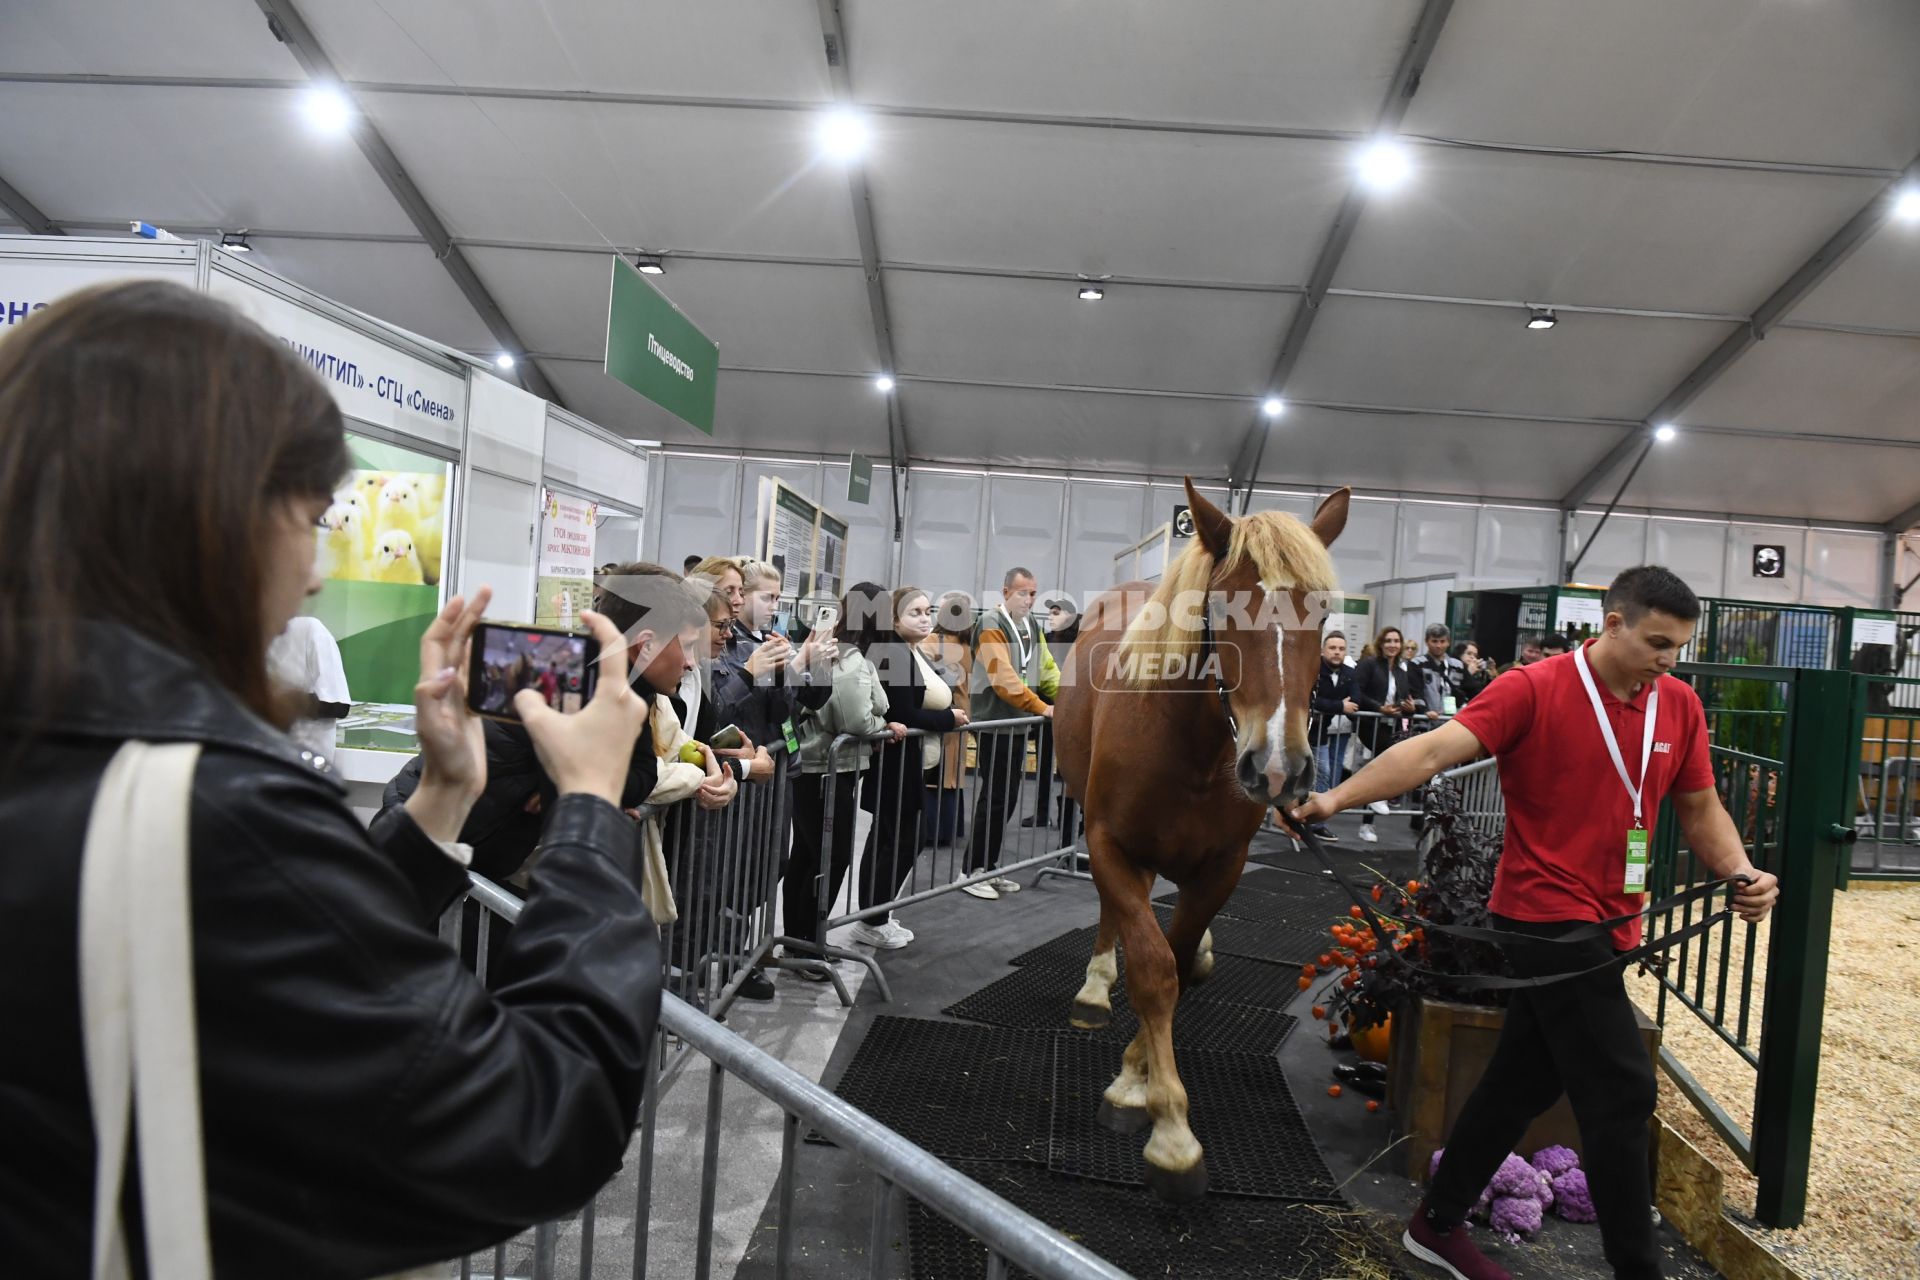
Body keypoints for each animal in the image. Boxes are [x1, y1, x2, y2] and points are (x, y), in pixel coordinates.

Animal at [1052, 477, 1351, 1205]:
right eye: (1220, 606)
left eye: (1322, 609)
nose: (1279, 768)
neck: (1186, 742)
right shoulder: (1111, 846)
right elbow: (1153, 969)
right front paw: (1166, 1128)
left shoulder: (1221, 869)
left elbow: (1179, 964)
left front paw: (1138, 1081)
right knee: (1112, 916)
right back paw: (1095, 988)